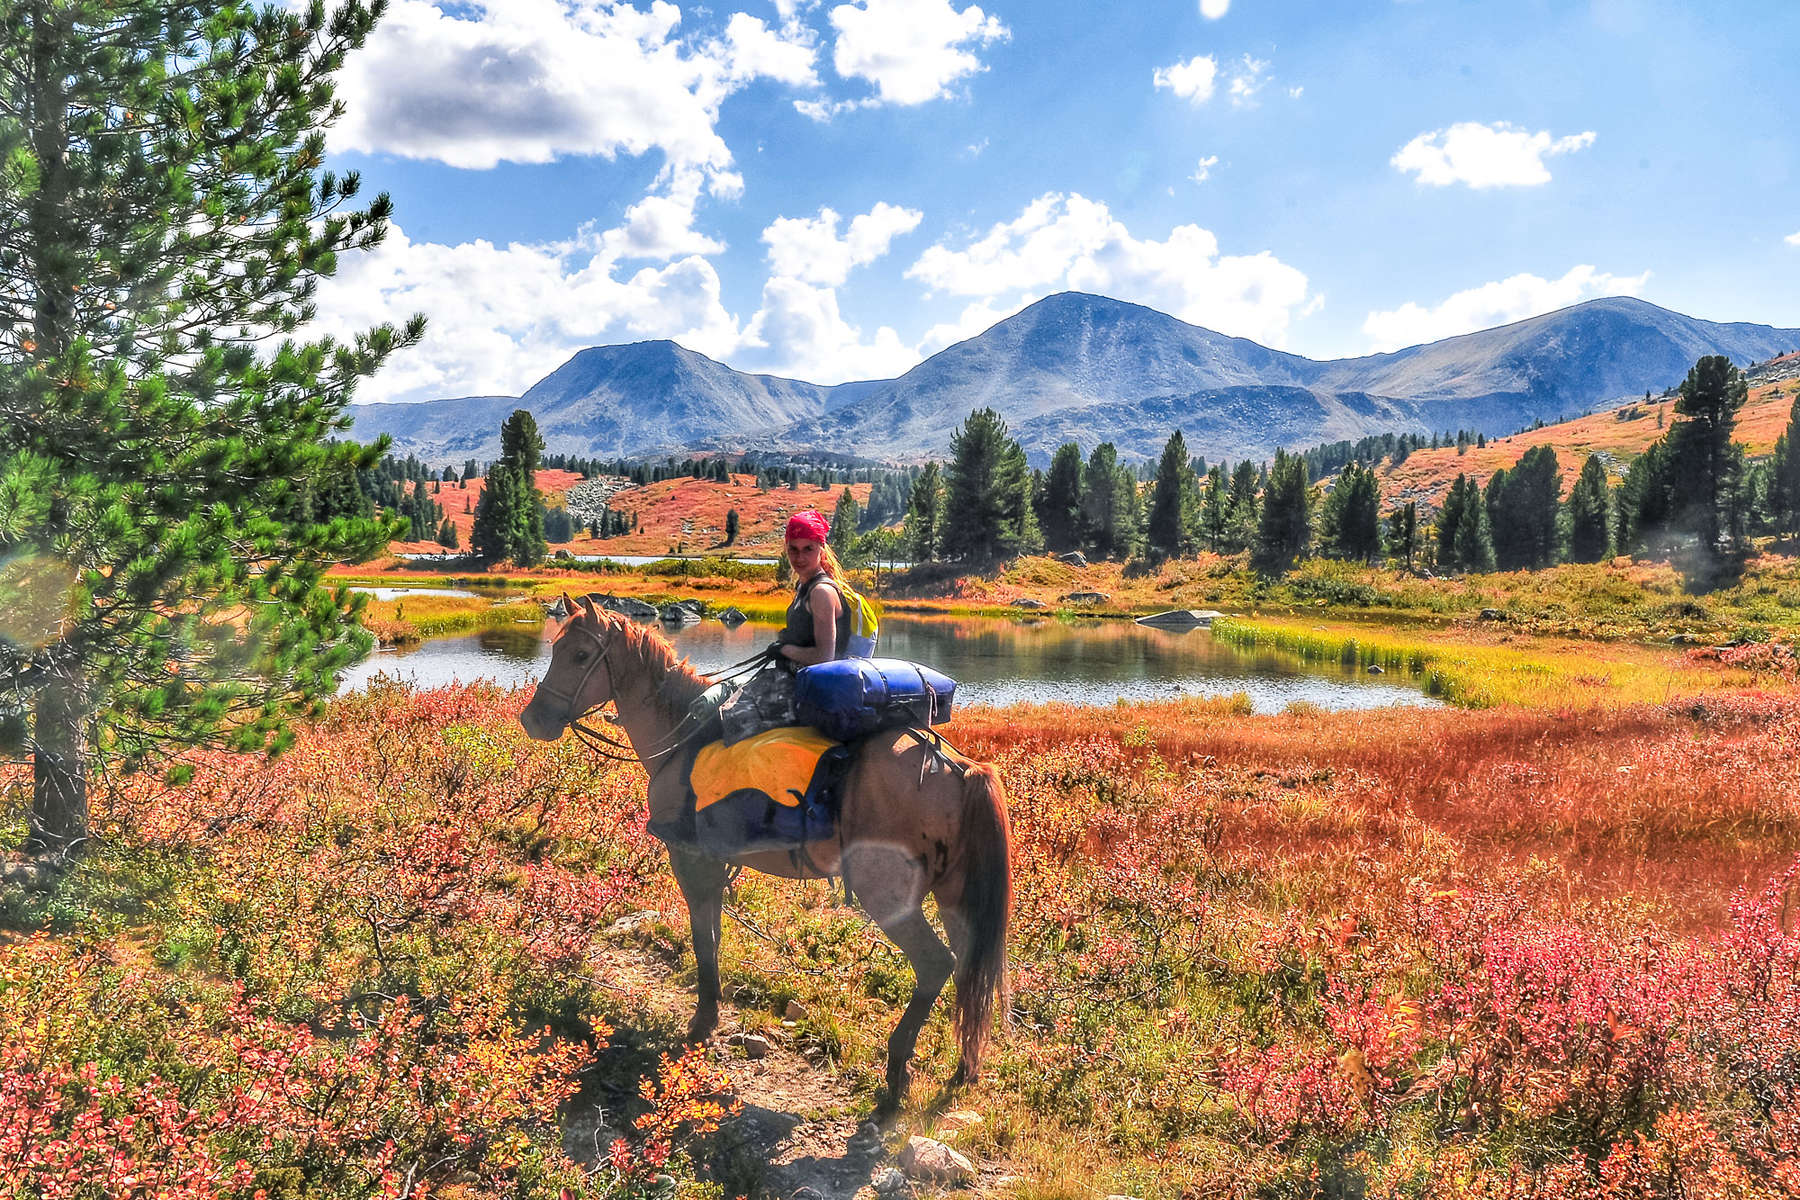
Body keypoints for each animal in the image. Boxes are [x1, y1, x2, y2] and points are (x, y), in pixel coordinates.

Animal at [522, 597, 1015, 1115]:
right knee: (969, 968)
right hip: (955, 897)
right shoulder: (714, 863)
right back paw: (964, 1068)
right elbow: (713, 934)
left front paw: (703, 1021)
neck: (682, 735)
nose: (532, 719)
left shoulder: (690, 858)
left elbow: (702, 938)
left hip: (887, 897)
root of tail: (959, 768)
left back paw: (896, 1075)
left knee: (936, 964)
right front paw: (711, 1010)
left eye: (580, 655)